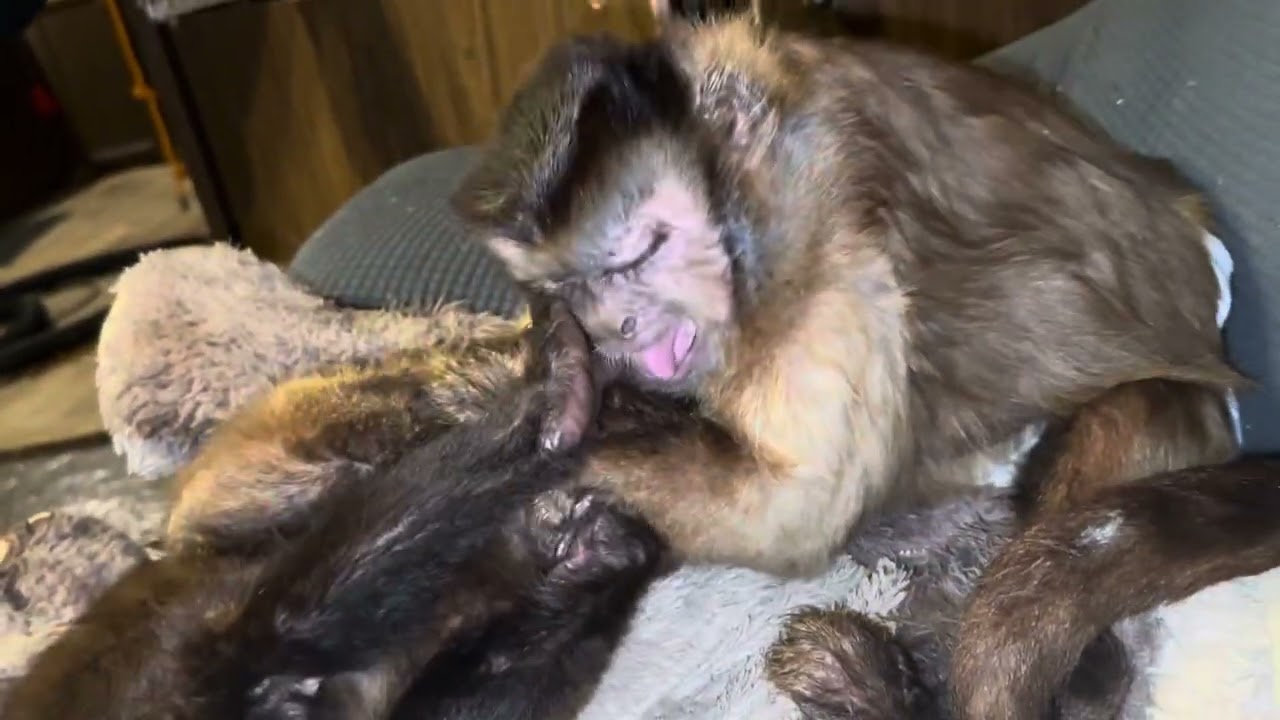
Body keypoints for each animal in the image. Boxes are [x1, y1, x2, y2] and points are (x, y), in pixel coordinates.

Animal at [448, 15, 1260, 720]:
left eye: (638, 256)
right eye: (574, 287)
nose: (617, 325)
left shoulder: (831, 238)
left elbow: (797, 508)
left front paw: (540, 459)